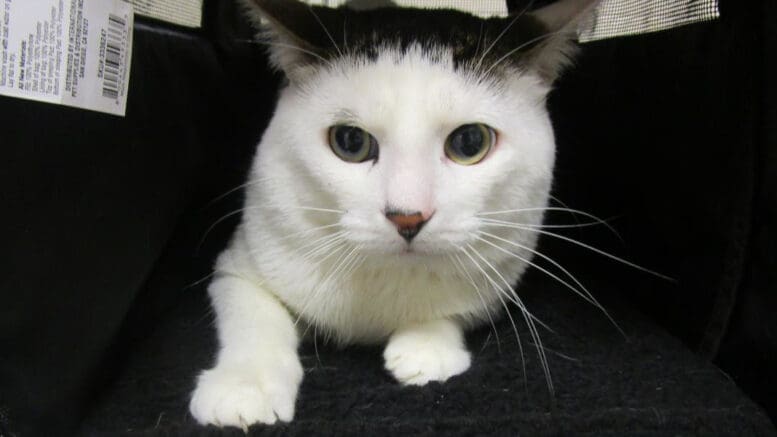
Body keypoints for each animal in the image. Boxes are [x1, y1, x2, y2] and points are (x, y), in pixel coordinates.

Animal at [189, 0, 600, 430]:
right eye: (350, 141)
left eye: (470, 142)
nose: (408, 217)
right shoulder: (240, 260)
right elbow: (255, 313)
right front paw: (244, 386)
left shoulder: (500, 278)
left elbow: (460, 308)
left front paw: (427, 347)